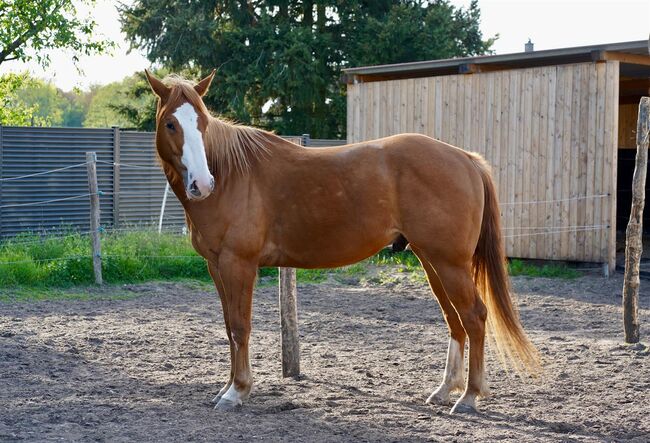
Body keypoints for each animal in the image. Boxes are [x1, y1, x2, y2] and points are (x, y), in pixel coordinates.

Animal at [144, 70, 540, 416]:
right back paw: (445, 390)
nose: (202, 184)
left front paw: (237, 392)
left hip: (449, 263)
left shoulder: (237, 264)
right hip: (432, 261)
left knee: (474, 317)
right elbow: (229, 327)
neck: (231, 175)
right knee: (454, 319)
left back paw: (469, 397)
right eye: (171, 124)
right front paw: (227, 388)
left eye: (202, 123)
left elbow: (241, 327)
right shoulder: (216, 266)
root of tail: (466, 159)